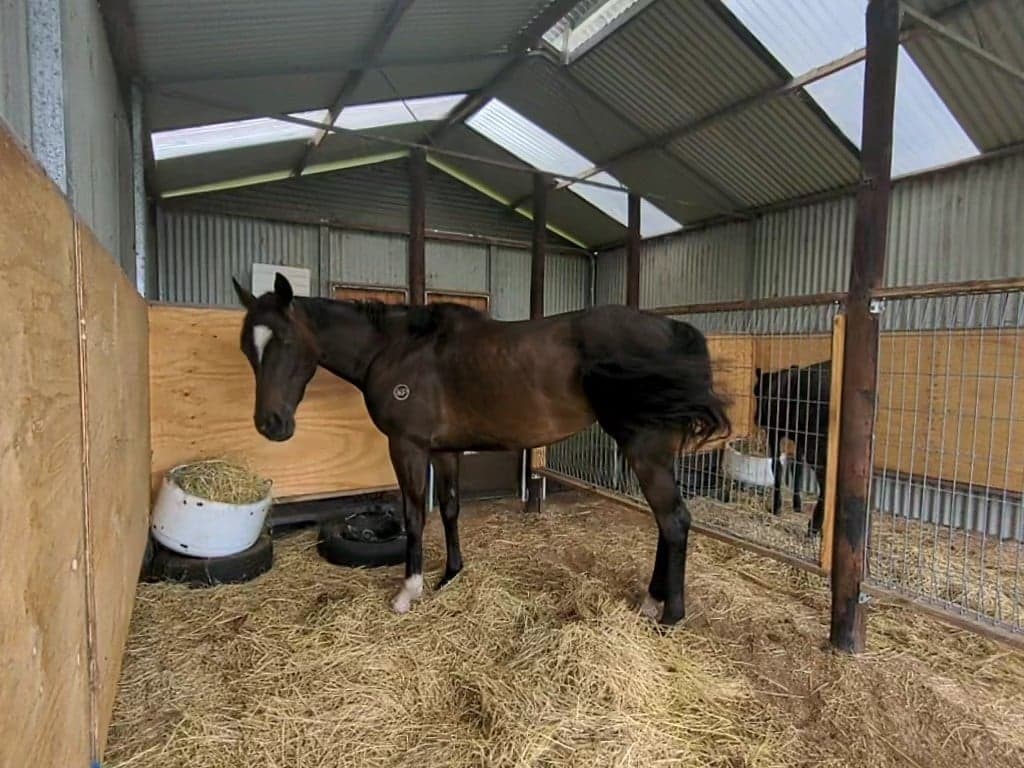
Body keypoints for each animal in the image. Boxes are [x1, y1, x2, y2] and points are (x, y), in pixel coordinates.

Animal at [231, 273, 730, 625]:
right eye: (246, 348)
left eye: (285, 341)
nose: (270, 425)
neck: (396, 349)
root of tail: (674, 329)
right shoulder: (445, 450)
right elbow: (450, 509)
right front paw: (450, 574)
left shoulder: (407, 447)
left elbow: (415, 515)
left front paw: (408, 591)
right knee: (666, 523)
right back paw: (652, 601)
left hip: (644, 450)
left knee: (674, 521)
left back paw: (670, 615)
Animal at [753, 361, 831, 536]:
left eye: (757, 393)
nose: (757, 419)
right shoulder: (799, 439)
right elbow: (797, 469)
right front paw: (797, 505)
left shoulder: (774, 431)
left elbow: (777, 466)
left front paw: (776, 507)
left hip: (816, 444)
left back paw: (814, 527)